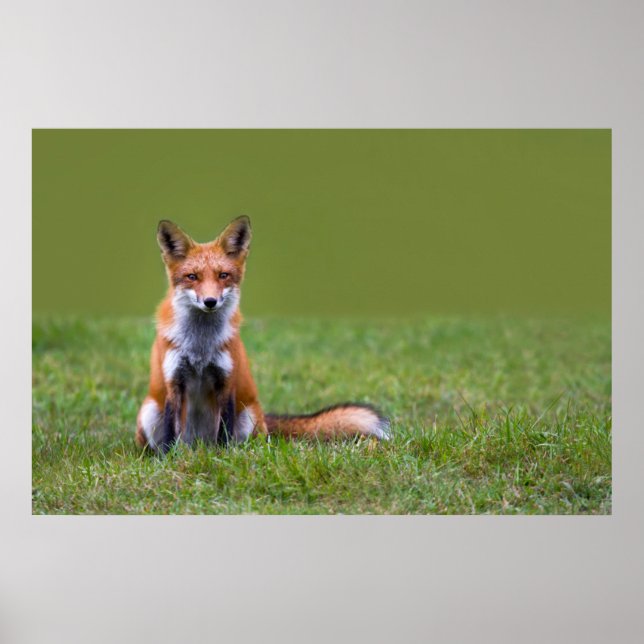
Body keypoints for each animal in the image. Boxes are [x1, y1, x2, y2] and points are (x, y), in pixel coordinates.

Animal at [136, 216, 390, 452]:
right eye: (192, 277)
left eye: (223, 275)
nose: (210, 301)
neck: (200, 347)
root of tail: (199, 445)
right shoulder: (173, 381)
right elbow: (170, 432)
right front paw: (168, 459)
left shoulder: (226, 381)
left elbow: (224, 432)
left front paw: (223, 457)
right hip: (149, 411)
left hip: (249, 416)